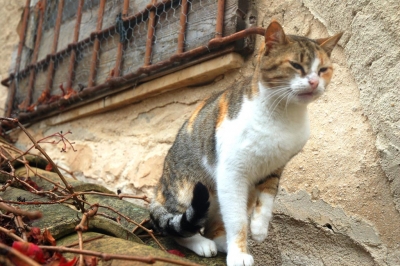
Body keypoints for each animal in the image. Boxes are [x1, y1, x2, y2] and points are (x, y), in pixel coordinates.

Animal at [148, 21, 342, 266]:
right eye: (296, 65)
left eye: (323, 69)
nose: (315, 82)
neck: (282, 114)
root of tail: (159, 188)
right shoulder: (232, 173)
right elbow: (237, 219)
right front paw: (239, 254)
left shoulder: (275, 167)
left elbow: (267, 199)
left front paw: (258, 229)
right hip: (189, 190)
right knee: (178, 227)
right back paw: (202, 244)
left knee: (213, 225)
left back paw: (222, 243)